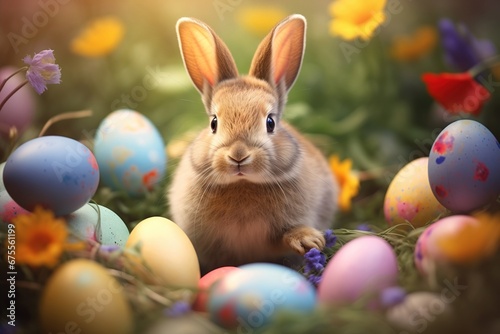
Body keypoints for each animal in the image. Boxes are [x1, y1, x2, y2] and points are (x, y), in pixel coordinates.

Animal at [167, 14, 336, 272]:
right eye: (214, 123)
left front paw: (309, 240)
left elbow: (285, 236)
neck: (243, 184)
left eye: (270, 122)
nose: (238, 155)